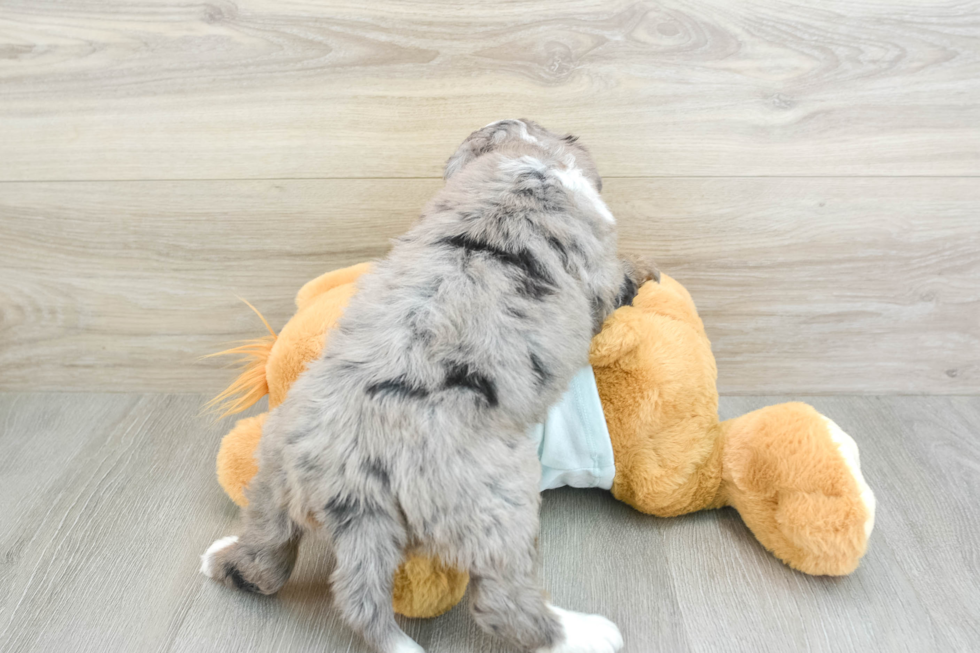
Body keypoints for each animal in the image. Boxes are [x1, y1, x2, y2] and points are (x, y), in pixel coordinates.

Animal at [202, 119, 640, 648]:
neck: (529, 159)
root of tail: (347, 474)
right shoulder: (599, 266)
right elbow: (615, 282)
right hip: (497, 501)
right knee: (502, 604)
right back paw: (586, 633)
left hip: (274, 475)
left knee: (264, 557)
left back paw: (221, 558)